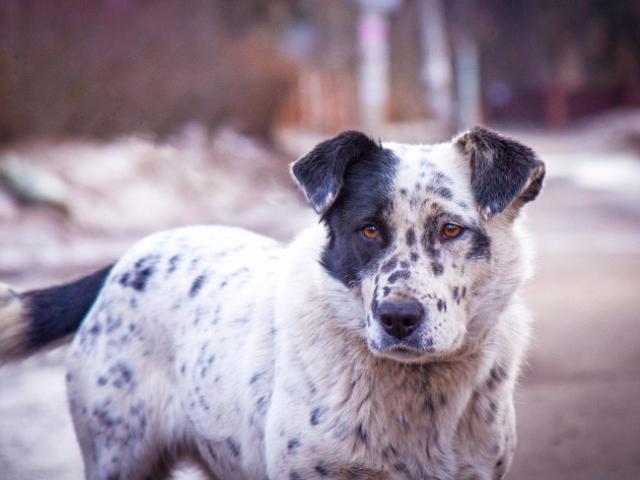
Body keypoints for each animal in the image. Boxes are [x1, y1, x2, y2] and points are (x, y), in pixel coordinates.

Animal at [0, 127, 544, 480]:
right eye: (368, 230)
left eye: (451, 229)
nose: (398, 318)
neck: (418, 392)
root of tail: (122, 263)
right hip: (118, 453)